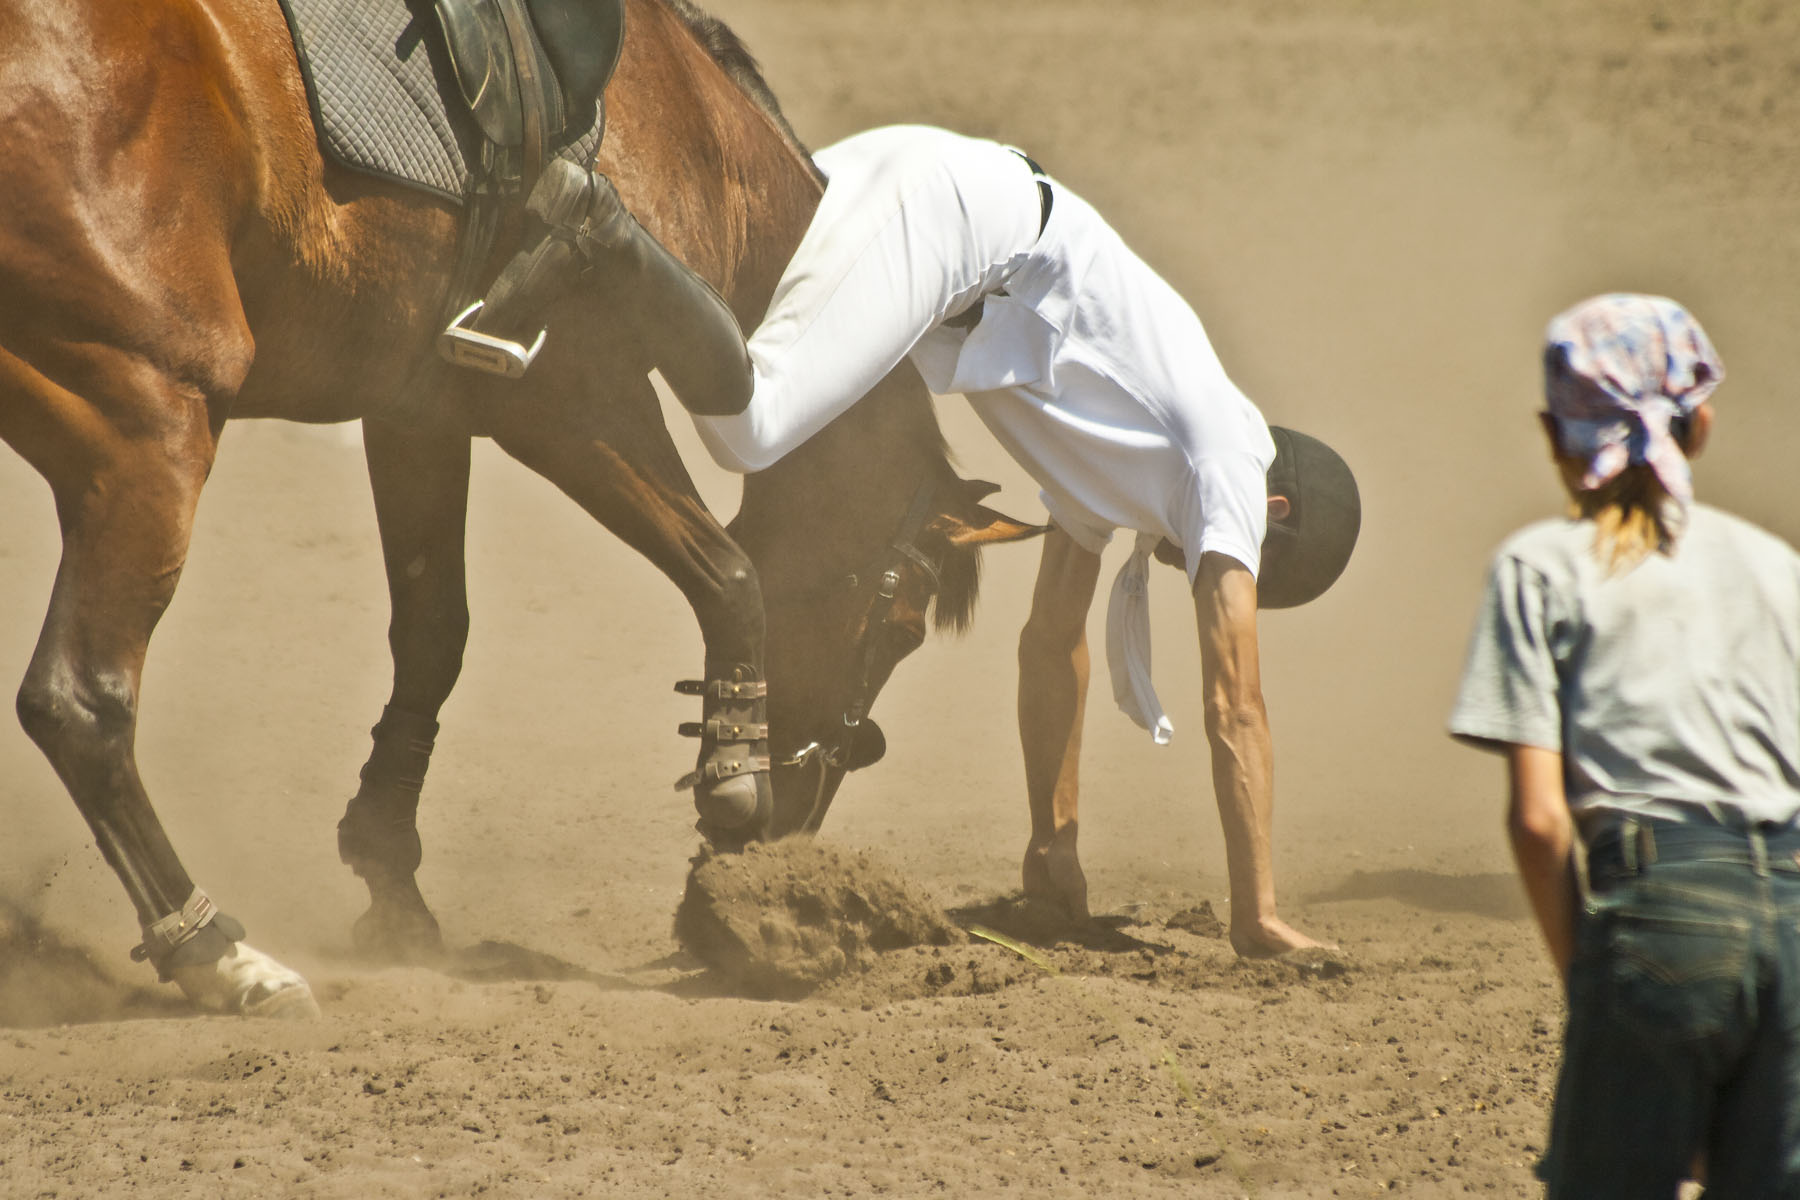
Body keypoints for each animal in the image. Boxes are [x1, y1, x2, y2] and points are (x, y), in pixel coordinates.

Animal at [0, 0, 1029, 1014]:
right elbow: (732, 579)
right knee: (79, 702)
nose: (800, 821)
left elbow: (433, 635)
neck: (677, 124)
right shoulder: (572, 400)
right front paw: (737, 815)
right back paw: (216, 950)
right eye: (898, 627)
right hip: (152, 418)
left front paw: (390, 874)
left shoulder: (416, 408)